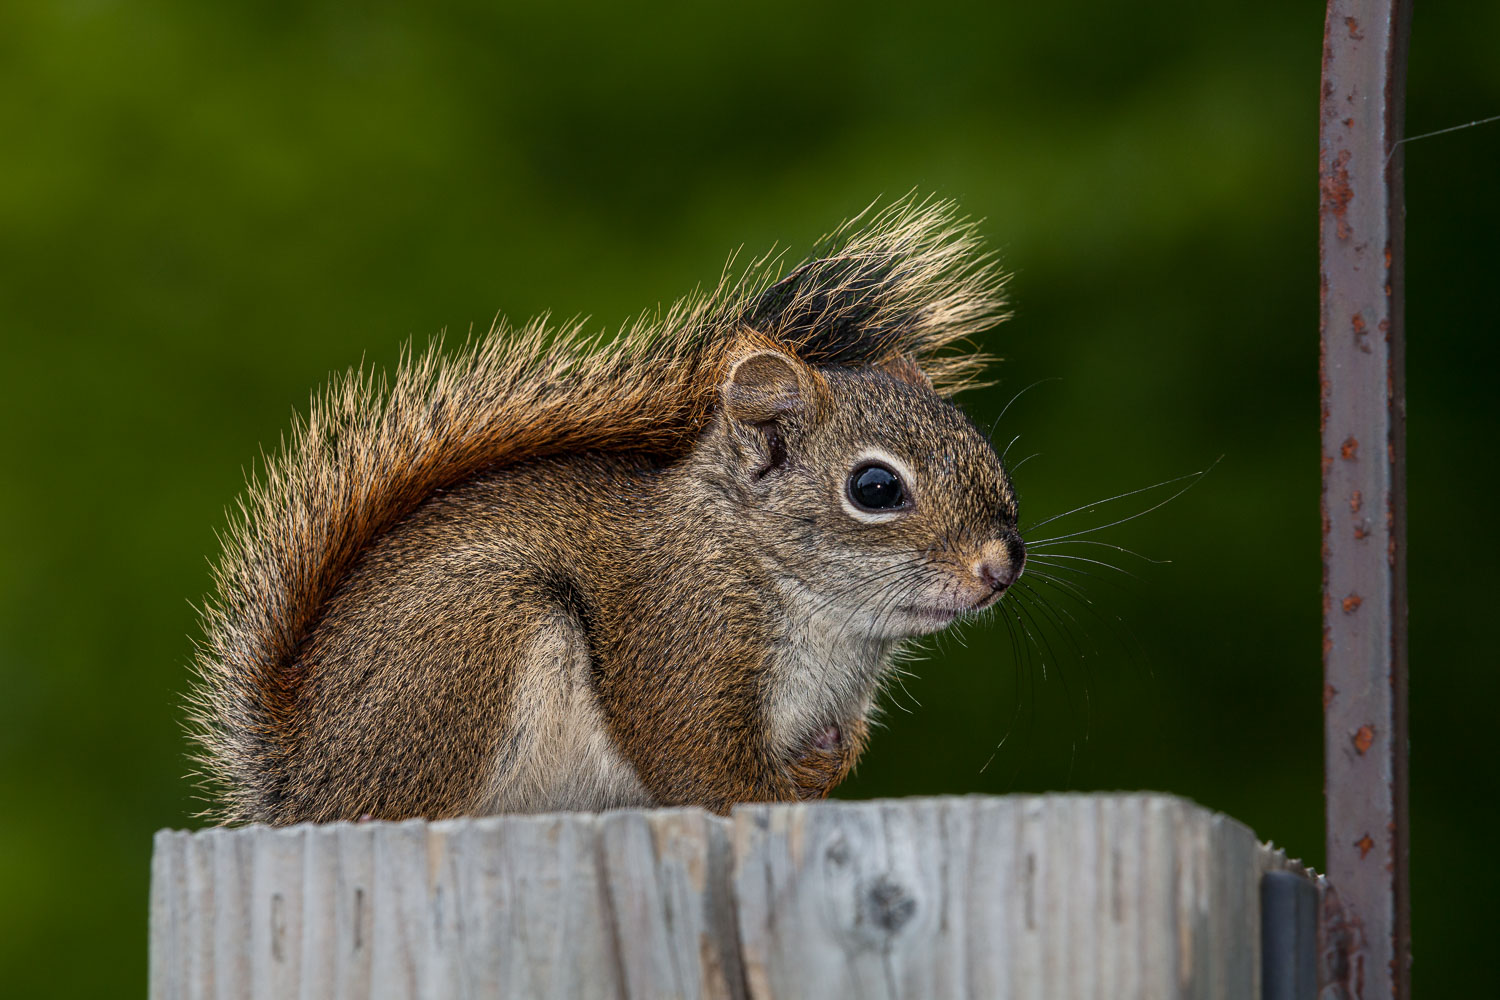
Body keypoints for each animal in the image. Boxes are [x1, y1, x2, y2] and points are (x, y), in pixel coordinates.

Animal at [184, 199, 1020, 827]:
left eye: (982, 448)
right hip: (471, 643)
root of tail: (300, 785)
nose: (1002, 566)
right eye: (875, 488)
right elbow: (703, 768)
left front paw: (825, 768)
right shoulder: (681, 642)